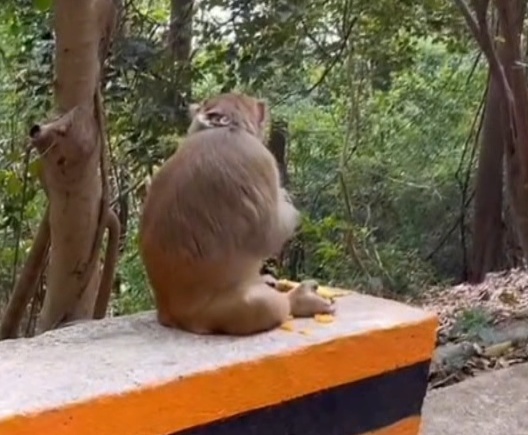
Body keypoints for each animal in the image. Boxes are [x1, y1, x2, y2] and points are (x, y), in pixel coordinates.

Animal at [137, 93, 334, 338]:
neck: (223, 129)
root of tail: (169, 314)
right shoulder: (260, 157)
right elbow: (269, 233)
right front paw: (285, 199)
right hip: (213, 313)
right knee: (264, 305)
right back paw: (297, 300)